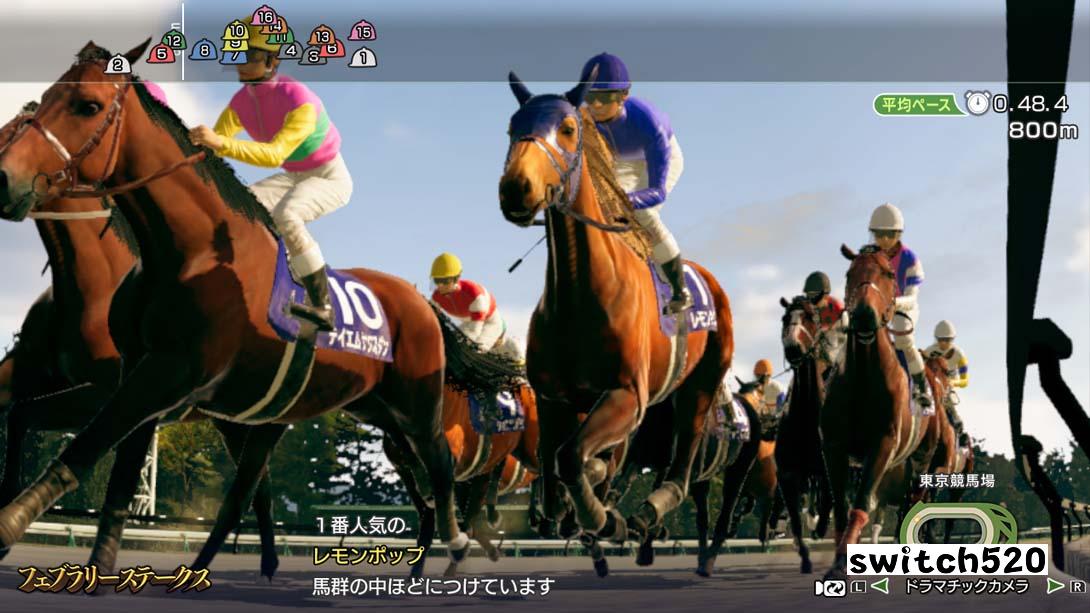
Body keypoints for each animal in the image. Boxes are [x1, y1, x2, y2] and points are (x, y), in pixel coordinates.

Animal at [0, 41, 480, 571]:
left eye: (88, 105)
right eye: (46, 96)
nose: (3, 178)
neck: (191, 251)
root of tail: (419, 300)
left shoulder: (168, 373)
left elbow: (86, 448)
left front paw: (7, 527)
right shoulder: (140, 372)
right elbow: (116, 476)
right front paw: (98, 566)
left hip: (416, 404)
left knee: (440, 463)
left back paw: (456, 549)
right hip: (344, 411)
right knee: (251, 490)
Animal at [497, 70, 735, 552]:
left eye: (568, 129)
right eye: (512, 128)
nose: (516, 187)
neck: (581, 294)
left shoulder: (626, 395)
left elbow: (573, 458)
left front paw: (600, 517)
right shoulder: (553, 399)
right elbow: (557, 463)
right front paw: (567, 512)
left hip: (699, 387)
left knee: (680, 469)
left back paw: (644, 515)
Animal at [821, 244, 941, 579]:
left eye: (888, 273)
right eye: (850, 273)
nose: (864, 314)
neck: (864, 377)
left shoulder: (884, 443)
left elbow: (861, 502)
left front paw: (841, 562)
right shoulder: (834, 446)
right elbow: (841, 506)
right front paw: (839, 558)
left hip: (922, 458)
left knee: (914, 502)